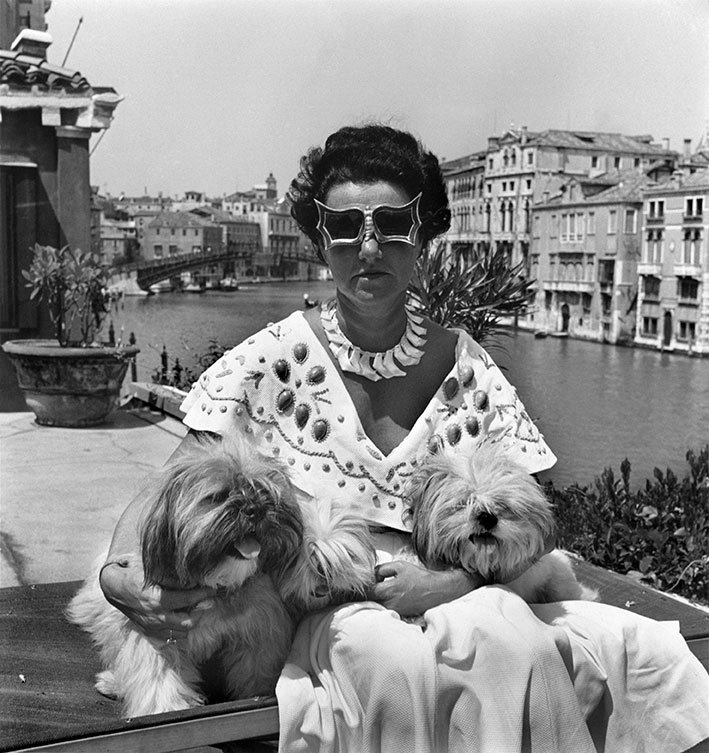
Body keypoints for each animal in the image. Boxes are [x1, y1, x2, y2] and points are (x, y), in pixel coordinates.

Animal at [67, 434, 306, 716]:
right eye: (218, 496)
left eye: (263, 491)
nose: (254, 508)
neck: (213, 583)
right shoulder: (155, 630)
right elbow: (158, 677)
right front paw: (166, 708)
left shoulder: (260, 630)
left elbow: (257, 669)